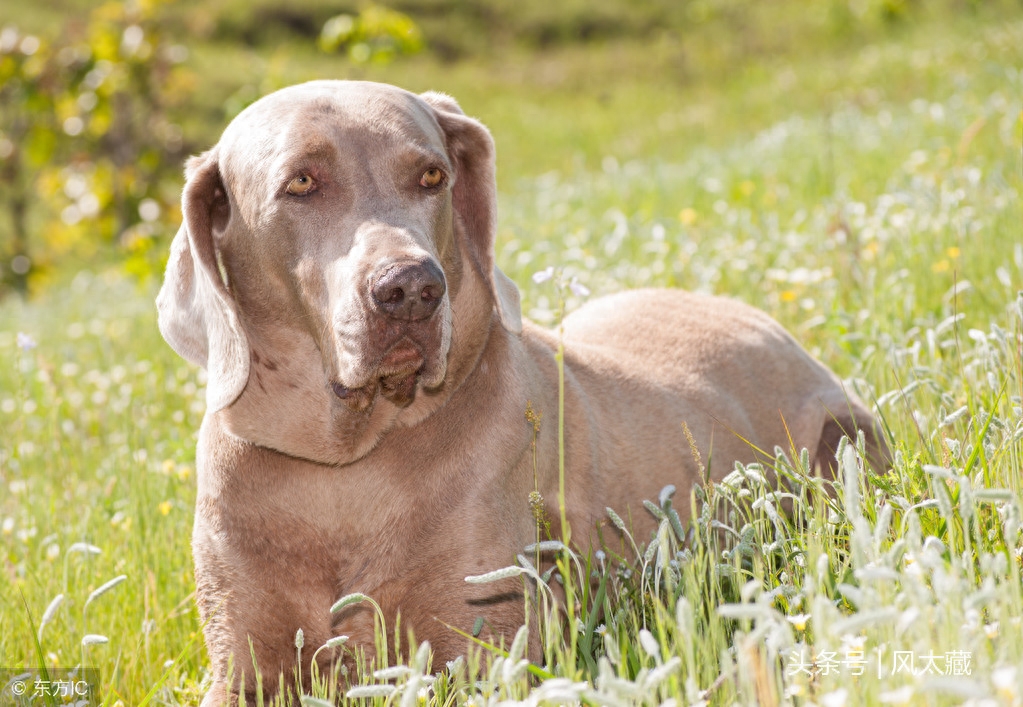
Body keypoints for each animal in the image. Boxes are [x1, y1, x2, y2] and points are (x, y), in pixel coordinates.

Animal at [153, 80, 887, 703]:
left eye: (432, 176)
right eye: (301, 182)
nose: (411, 289)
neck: (345, 467)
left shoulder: (483, 649)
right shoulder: (240, 665)